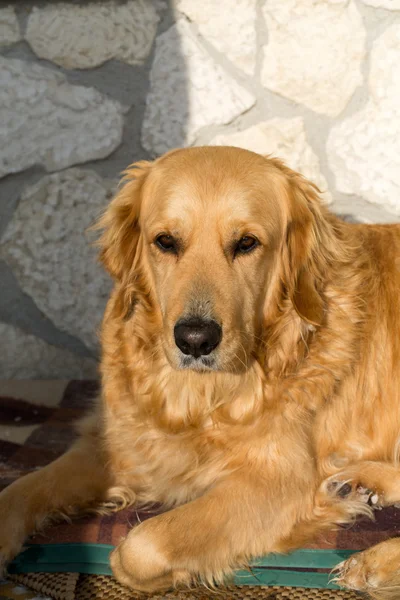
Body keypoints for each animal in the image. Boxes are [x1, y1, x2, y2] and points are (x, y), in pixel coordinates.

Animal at [0, 146, 400, 600]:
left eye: (247, 243)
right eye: (165, 242)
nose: (194, 339)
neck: (196, 400)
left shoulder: (281, 482)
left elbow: (137, 547)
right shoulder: (109, 443)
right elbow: (18, 490)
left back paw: (375, 562)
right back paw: (361, 483)